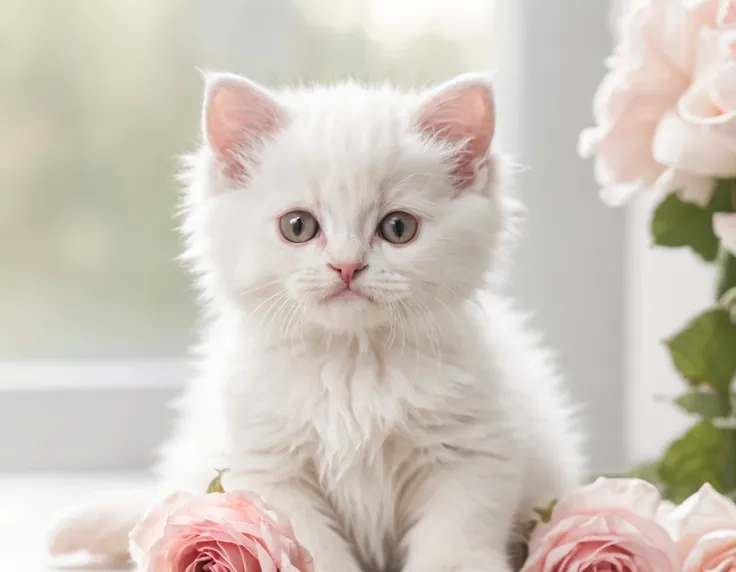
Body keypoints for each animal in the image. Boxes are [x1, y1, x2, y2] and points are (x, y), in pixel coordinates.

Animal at [49, 72, 584, 572]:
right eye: (298, 226)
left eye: (398, 227)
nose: (346, 266)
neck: (352, 364)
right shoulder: (269, 468)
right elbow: (312, 546)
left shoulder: (470, 451)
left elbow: (455, 540)